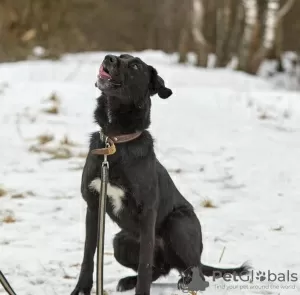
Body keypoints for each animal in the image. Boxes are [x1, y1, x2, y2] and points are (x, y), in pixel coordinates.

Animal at [70, 53, 248, 295]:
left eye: (135, 66)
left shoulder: (147, 213)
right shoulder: (93, 206)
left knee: (193, 269)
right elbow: (89, 254)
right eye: (119, 55)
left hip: (178, 223)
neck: (116, 142)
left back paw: (188, 281)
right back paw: (129, 280)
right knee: (160, 269)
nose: (108, 58)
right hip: (120, 242)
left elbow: (144, 264)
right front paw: (81, 289)